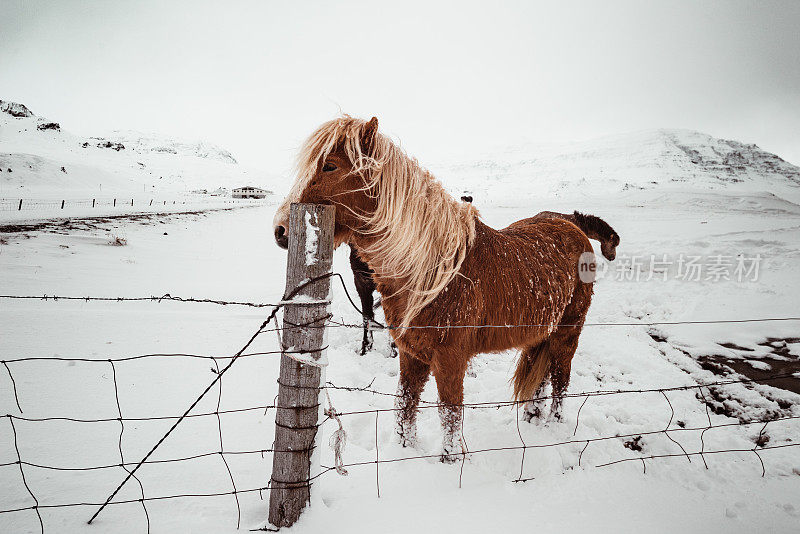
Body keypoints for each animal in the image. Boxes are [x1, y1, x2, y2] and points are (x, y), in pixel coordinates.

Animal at [274, 117, 592, 464]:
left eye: (330, 165)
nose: (281, 231)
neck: (433, 272)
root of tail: (571, 226)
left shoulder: (450, 358)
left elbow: (450, 413)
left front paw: (450, 462)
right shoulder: (411, 352)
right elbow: (405, 403)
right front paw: (405, 450)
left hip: (568, 333)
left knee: (561, 381)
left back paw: (552, 428)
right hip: (541, 333)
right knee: (541, 377)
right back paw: (533, 419)